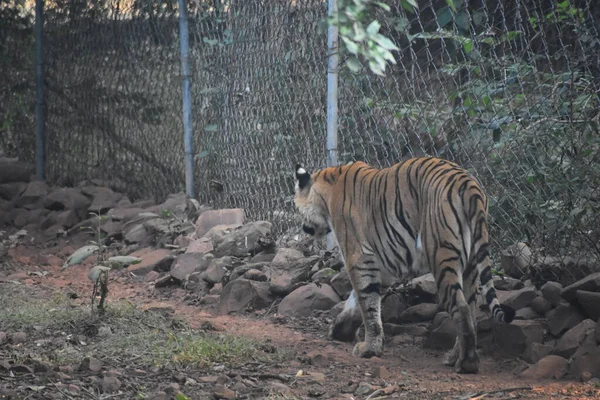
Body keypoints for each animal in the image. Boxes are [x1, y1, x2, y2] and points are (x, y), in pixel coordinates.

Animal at [292, 157, 512, 376]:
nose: (303, 228)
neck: (327, 190)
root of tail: (467, 183)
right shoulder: (382, 267)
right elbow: (359, 301)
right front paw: (341, 330)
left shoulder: (359, 258)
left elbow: (367, 303)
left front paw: (368, 349)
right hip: (470, 266)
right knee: (472, 311)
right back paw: (453, 357)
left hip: (442, 258)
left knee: (462, 308)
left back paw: (467, 363)